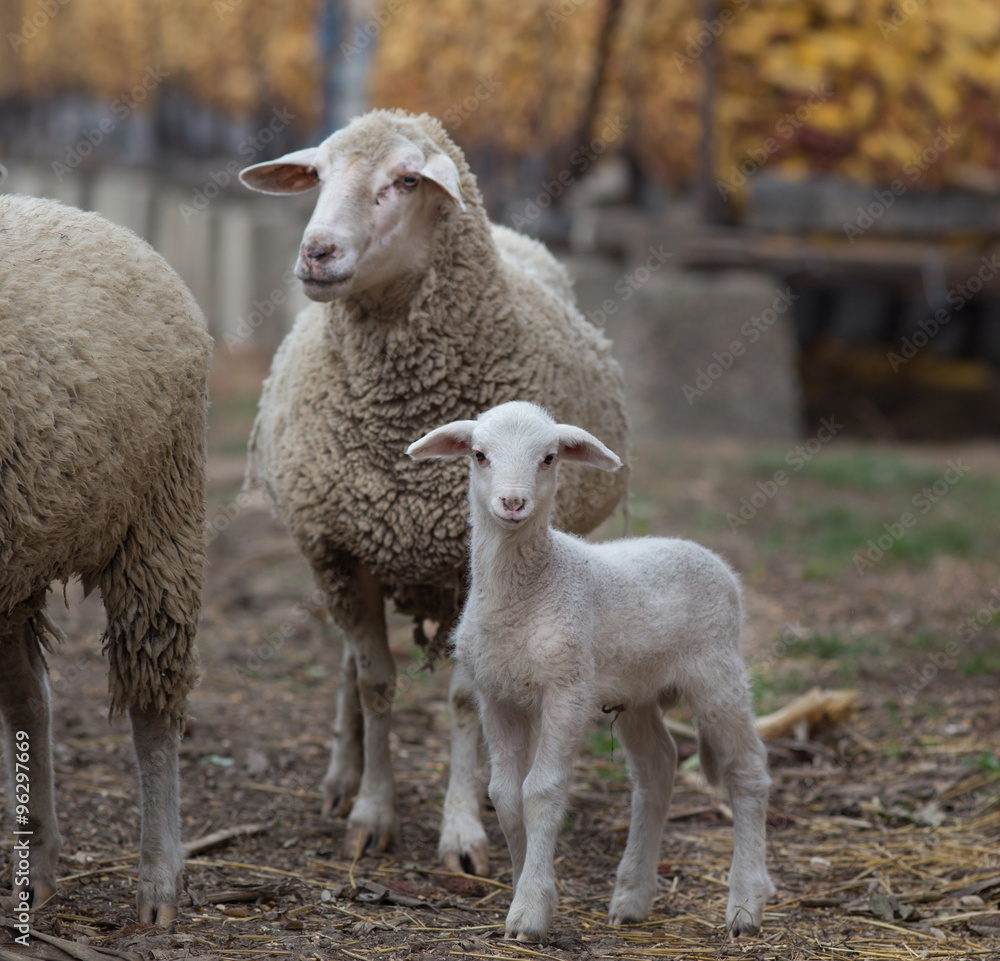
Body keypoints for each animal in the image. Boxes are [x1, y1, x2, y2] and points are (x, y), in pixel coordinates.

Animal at [0, 195, 211, 924]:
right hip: (19, 562)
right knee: (30, 702)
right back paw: (38, 867)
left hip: (159, 526)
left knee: (155, 713)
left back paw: (158, 882)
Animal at [239, 107, 628, 872]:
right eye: (317, 175)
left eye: (407, 180)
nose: (317, 252)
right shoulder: (339, 548)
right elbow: (375, 683)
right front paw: (370, 812)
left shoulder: (458, 564)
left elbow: (463, 700)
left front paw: (463, 831)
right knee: (348, 666)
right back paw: (342, 774)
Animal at [406, 402, 772, 940]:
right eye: (478, 455)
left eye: (549, 457)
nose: (512, 503)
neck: (530, 590)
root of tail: (711, 558)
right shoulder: (497, 695)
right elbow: (505, 796)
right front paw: (522, 887)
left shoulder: (566, 689)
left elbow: (541, 792)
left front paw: (530, 911)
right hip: (638, 689)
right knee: (658, 767)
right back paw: (632, 898)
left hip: (717, 672)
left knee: (748, 772)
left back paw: (745, 903)